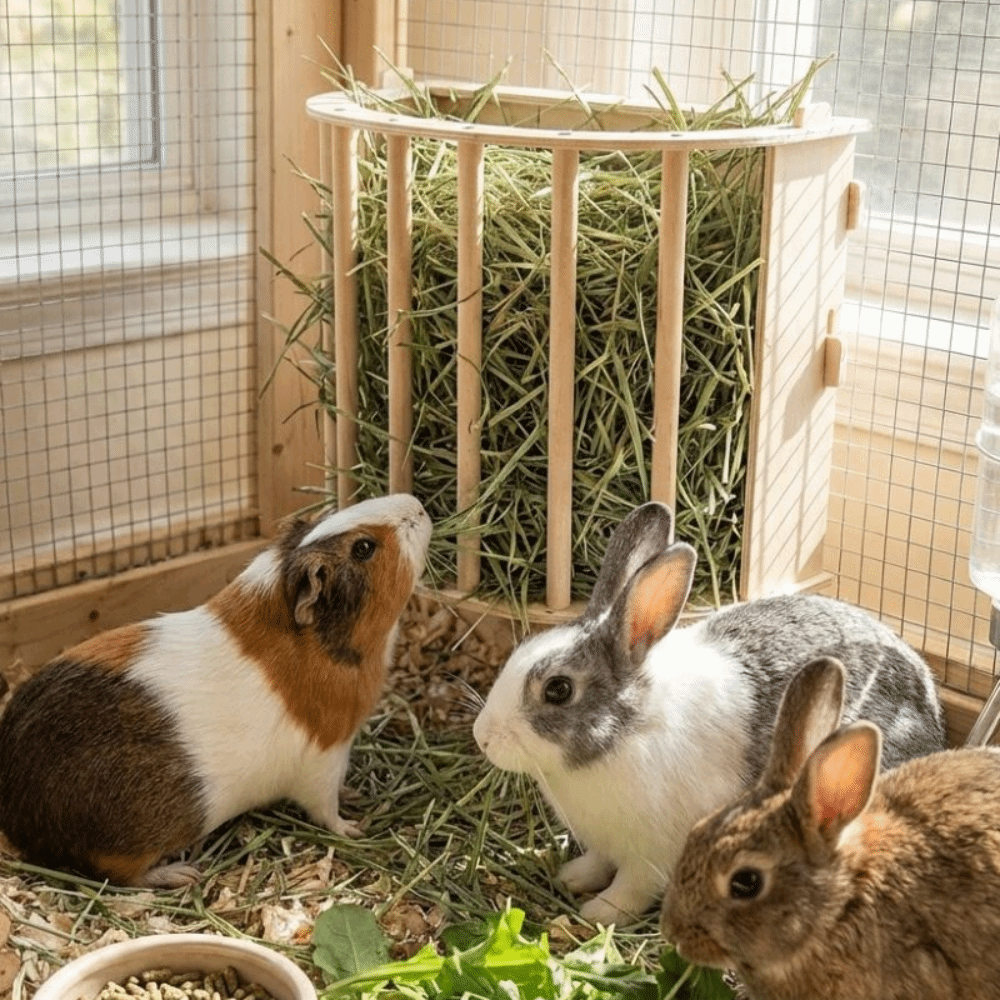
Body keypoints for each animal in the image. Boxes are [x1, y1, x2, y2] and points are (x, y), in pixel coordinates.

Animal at [0, 493, 431, 888]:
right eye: (364, 548)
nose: (418, 505)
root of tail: (17, 813)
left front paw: (354, 795)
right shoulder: (324, 758)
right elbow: (325, 808)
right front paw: (355, 827)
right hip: (129, 844)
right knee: (118, 875)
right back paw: (181, 874)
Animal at [472, 501, 946, 927]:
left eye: (558, 689)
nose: (483, 737)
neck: (629, 731)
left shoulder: (652, 855)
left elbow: (631, 889)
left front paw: (599, 912)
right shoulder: (604, 843)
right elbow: (596, 863)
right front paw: (571, 877)